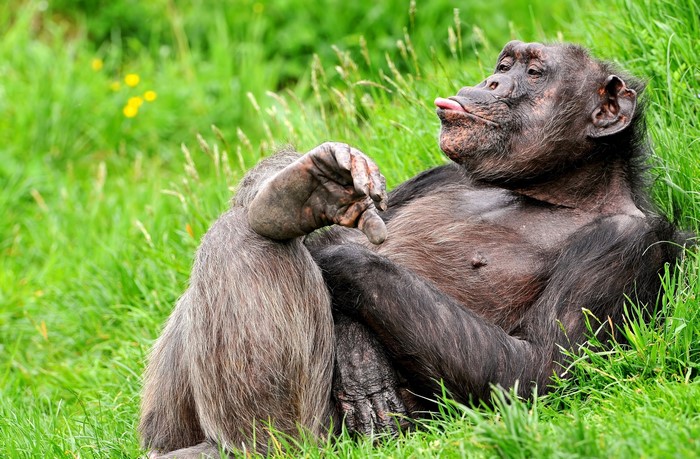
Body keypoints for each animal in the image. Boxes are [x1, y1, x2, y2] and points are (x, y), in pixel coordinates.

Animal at [139, 41, 686, 458]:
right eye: (503, 66)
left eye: (533, 73)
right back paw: (295, 197)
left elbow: (535, 370)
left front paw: (340, 268)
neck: (546, 191)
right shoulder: (438, 174)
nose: (491, 83)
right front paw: (322, 186)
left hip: (322, 437)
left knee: (249, 242)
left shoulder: (624, 245)